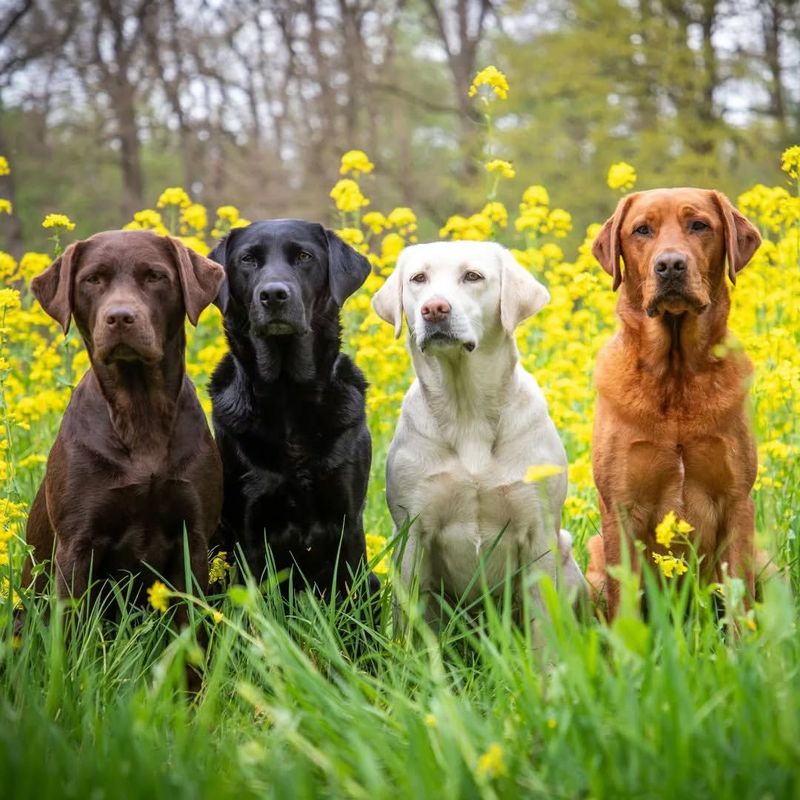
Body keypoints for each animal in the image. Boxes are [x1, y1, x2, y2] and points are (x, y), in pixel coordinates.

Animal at [25, 228, 225, 608]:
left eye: (155, 276)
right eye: (92, 279)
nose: (119, 317)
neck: (139, 409)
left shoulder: (193, 536)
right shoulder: (77, 543)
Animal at [208, 219, 380, 600]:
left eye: (304, 257)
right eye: (248, 260)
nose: (273, 295)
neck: (288, 394)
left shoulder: (348, 520)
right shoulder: (248, 528)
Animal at [372, 241, 584, 628]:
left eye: (473, 276)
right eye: (418, 278)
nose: (434, 309)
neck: (466, 409)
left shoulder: (539, 533)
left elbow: (543, 626)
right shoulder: (411, 533)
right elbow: (408, 625)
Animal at [588, 188, 764, 620]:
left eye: (699, 225)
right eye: (642, 230)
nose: (670, 265)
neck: (676, 374)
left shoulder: (737, 503)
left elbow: (740, 604)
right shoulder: (621, 508)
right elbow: (626, 609)